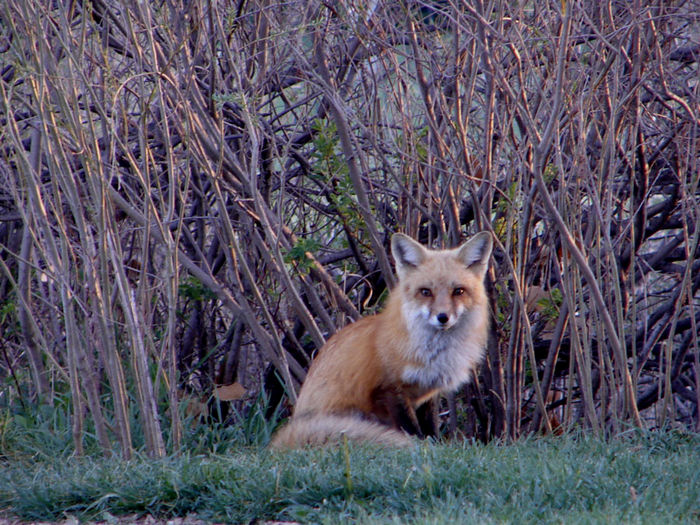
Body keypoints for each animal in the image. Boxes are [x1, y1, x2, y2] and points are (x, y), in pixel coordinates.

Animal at [270, 231, 493, 448]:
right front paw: (420, 449)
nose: (443, 317)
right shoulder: (389, 390)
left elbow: (430, 429)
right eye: (425, 292)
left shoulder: (428, 392)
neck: (433, 353)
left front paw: (435, 448)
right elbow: (412, 431)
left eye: (459, 291)